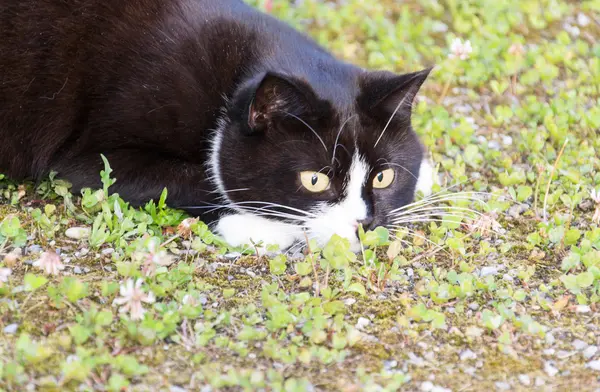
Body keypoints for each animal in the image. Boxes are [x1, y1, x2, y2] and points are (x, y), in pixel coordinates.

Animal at [0, 0, 434, 251]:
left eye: (383, 178)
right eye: (314, 181)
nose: (366, 223)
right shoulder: (91, 159)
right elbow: (200, 178)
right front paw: (265, 227)